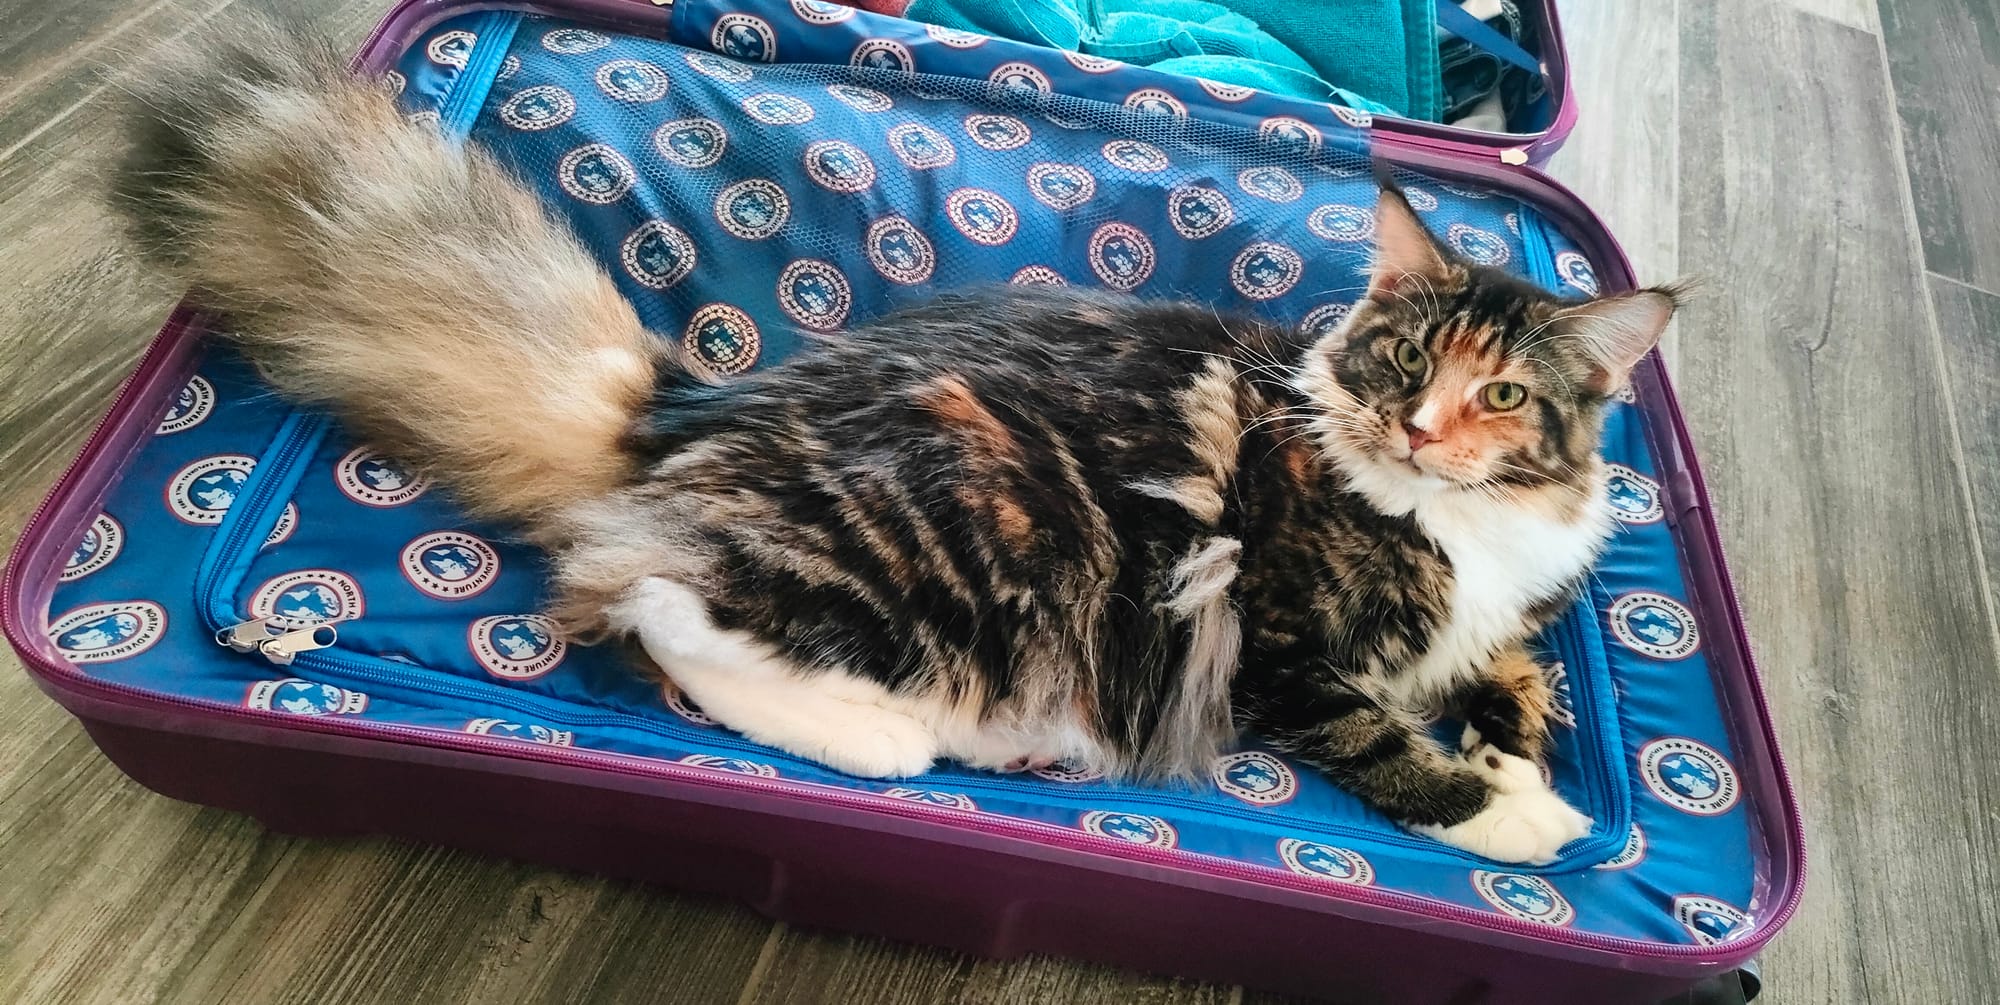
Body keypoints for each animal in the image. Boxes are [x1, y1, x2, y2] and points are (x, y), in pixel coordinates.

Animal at [111, 21, 1682, 864]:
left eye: (1502, 396)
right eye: (1409, 361)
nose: (1417, 426)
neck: (1461, 523)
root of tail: (699, 409)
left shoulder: (1507, 616)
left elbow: (1518, 677)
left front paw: (1523, 755)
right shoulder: (1283, 637)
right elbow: (1386, 740)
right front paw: (1515, 819)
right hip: (961, 547)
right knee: (654, 603)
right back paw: (893, 738)